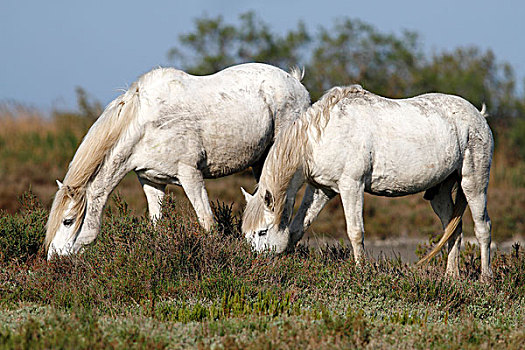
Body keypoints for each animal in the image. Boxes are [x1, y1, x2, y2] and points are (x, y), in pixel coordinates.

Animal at [45, 63, 310, 260]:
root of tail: (296, 82)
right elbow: (156, 223)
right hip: (261, 162)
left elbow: (208, 222)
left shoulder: (190, 175)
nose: (54, 259)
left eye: (67, 221)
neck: (145, 124)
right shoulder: (151, 181)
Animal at [244, 85, 494, 282]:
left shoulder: (351, 186)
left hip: (474, 183)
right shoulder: (322, 189)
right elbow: (297, 227)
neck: (322, 134)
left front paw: (360, 271)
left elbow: (355, 231)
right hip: (439, 192)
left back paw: (485, 278)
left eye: (262, 232)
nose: (254, 265)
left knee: (483, 227)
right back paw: (452, 276)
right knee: (454, 229)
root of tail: (479, 115)